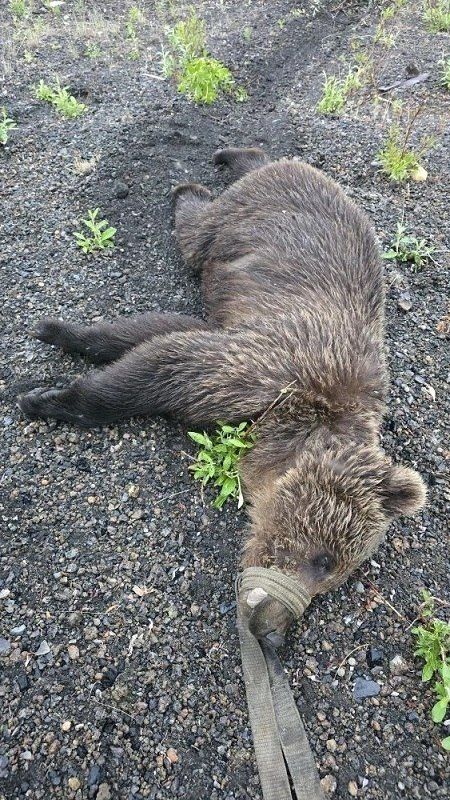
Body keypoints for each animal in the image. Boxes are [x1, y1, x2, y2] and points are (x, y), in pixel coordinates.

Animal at [18, 147, 426, 637]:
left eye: (335, 577)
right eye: (324, 559)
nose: (273, 631)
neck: (296, 421)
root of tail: (298, 168)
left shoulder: (240, 345)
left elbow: (155, 334)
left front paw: (63, 347)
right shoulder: (270, 365)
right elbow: (162, 361)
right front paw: (45, 392)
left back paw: (234, 157)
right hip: (240, 220)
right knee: (195, 226)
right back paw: (199, 177)